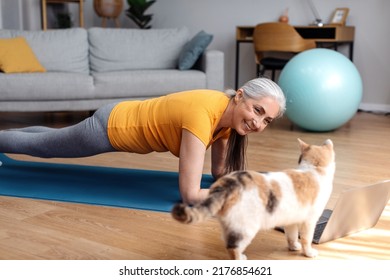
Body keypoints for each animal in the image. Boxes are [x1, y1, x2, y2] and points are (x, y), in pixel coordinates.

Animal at [171, 139, 336, 260]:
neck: (313, 169)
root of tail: (228, 183)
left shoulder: (292, 219)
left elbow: (291, 235)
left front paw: (293, 246)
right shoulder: (309, 221)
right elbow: (307, 239)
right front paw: (308, 253)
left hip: (230, 223)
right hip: (246, 227)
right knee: (233, 248)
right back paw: (240, 259)